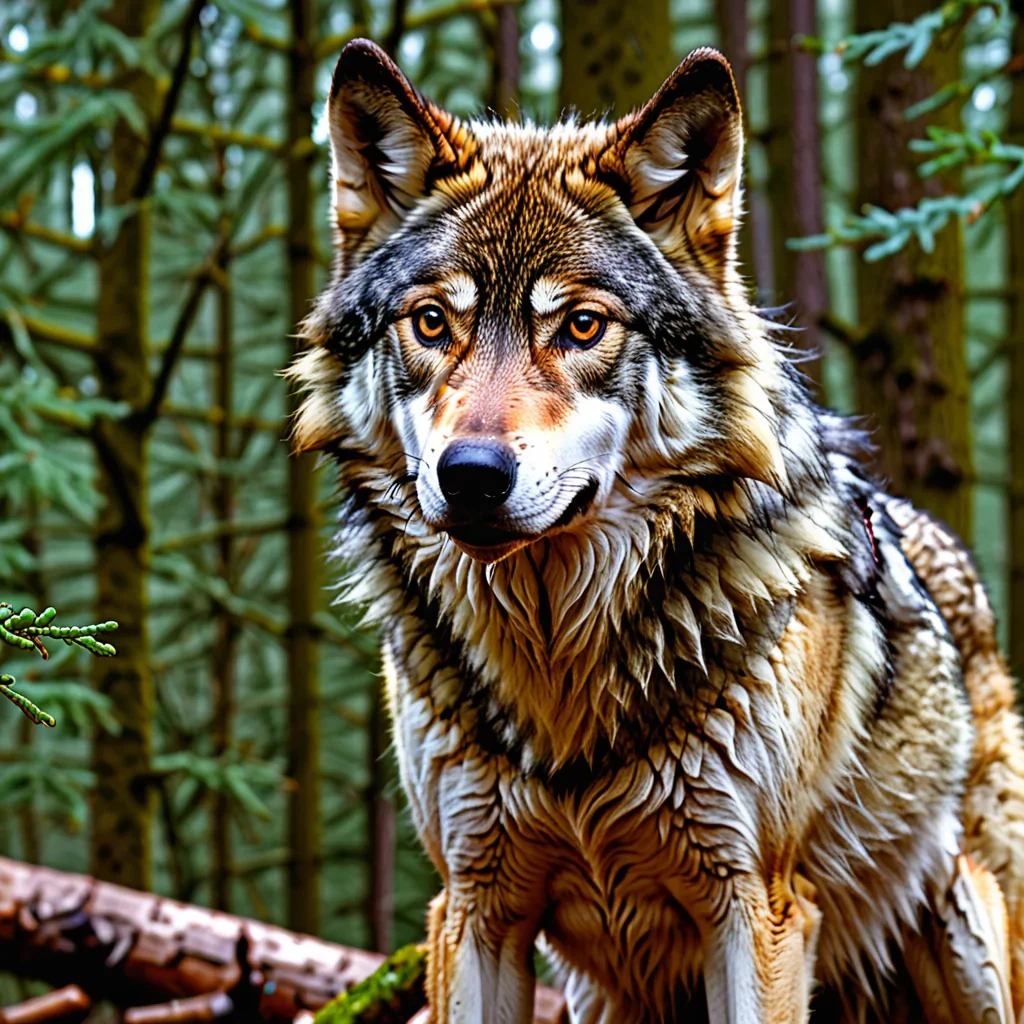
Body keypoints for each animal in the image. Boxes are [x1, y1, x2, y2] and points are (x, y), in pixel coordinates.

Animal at [288, 39, 1024, 1023]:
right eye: (432, 322)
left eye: (581, 325)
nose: (471, 475)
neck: (559, 669)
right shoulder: (473, 906)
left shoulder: (757, 906)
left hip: (970, 945)